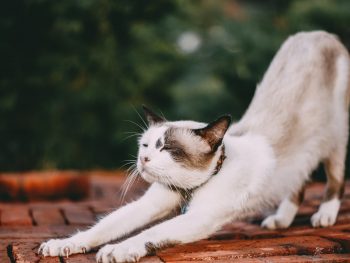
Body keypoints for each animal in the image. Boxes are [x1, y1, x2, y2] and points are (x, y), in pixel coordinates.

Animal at [39, 31, 350, 263]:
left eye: (166, 148)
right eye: (145, 145)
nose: (144, 159)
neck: (188, 188)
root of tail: (319, 34)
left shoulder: (200, 218)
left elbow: (147, 234)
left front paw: (117, 250)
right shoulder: (150, 204)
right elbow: (101, 228)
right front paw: (62, 245)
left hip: (334, 140)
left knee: (335, 180)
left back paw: (324, 216)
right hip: (305, 156)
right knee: (299, 181)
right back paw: (281, 220)